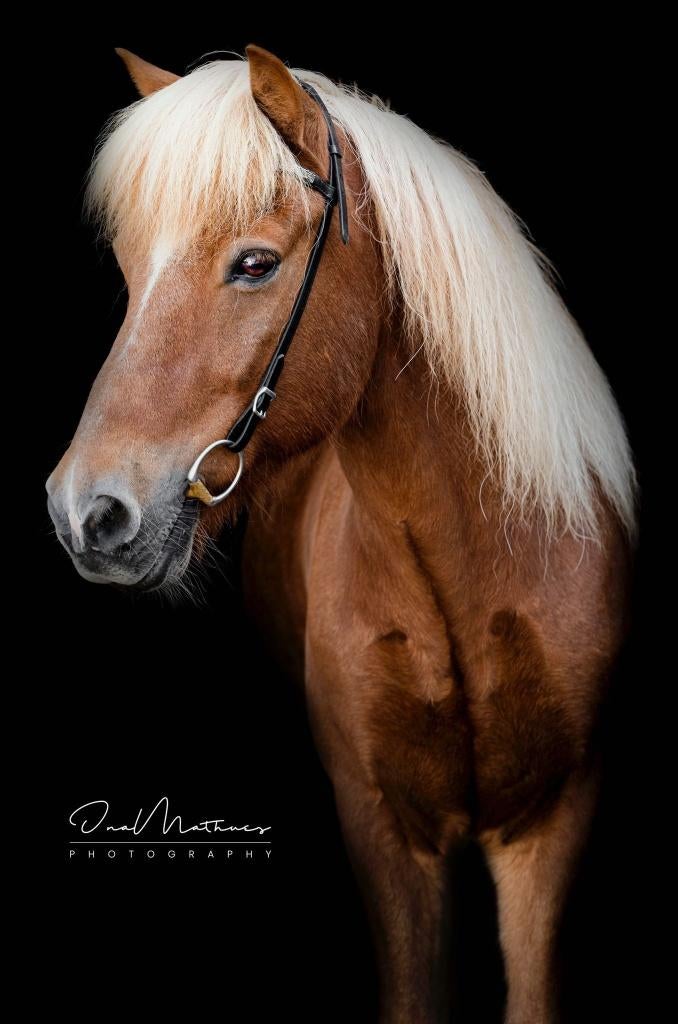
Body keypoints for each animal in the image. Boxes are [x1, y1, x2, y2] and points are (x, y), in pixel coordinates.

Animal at [46, 45, 636, 1023]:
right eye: (131, 275)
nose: (83, 510)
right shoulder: (382, 829)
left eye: (254, 264)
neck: (476, 567)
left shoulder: (553, 822)